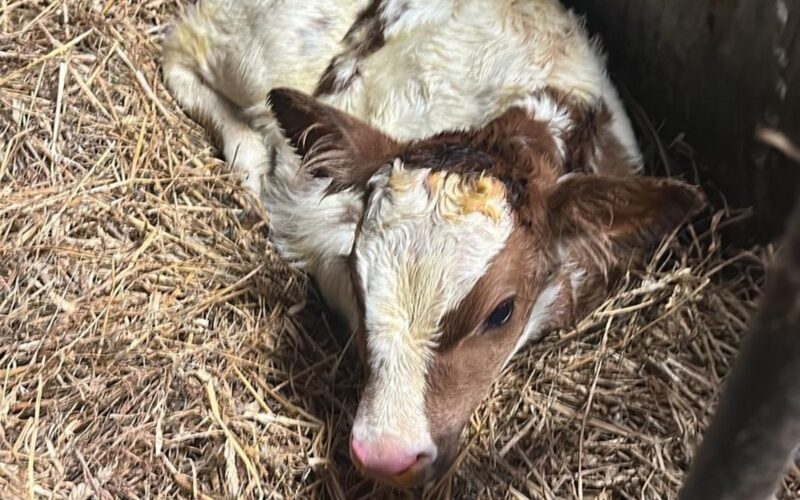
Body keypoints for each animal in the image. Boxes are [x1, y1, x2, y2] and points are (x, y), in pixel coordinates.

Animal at [162, 0, 706, 488]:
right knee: (180, 50)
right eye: (360, 284)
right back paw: (247, 155)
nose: (386, 456)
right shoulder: (312, 213)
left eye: (502, 312)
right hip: (252, 50)